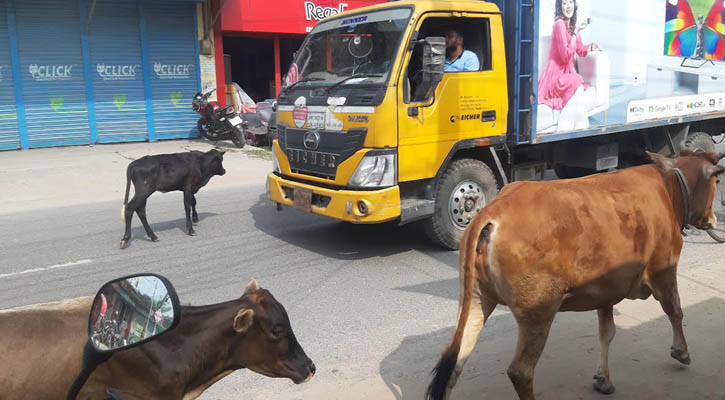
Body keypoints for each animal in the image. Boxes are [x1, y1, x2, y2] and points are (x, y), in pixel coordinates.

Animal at [428, 151, 720, 400]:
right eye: (717, 179)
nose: (714, 219)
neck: (668, 190)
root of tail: (491, 212)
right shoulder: (664, 270)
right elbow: (675, 311)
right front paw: (682, 352)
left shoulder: (607, 289)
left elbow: (607, 332)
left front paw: (603, 379)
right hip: (538, 310)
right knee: (520, 371)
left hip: (478, 300)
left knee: (454, 361)